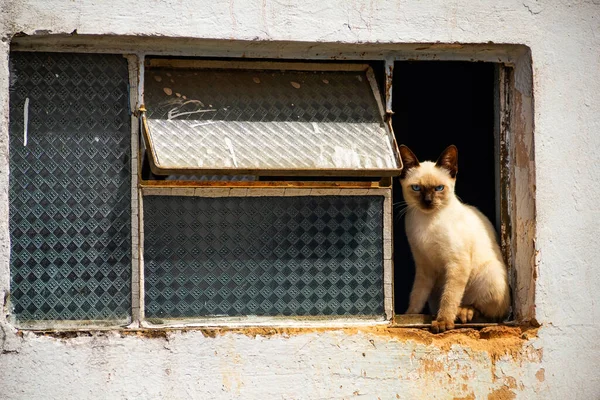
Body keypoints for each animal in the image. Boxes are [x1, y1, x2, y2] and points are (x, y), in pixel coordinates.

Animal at [398, 145, 510, 332]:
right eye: (416, 188)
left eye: (438, 188)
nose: (428, 201)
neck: (427, 222)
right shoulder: (424, 266)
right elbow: (416, 296)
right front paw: (408, 316)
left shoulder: (457, 263)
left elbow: (450, 297)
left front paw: (443, 322)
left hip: (488, 273)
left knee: (488, 312)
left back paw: (464, 311)